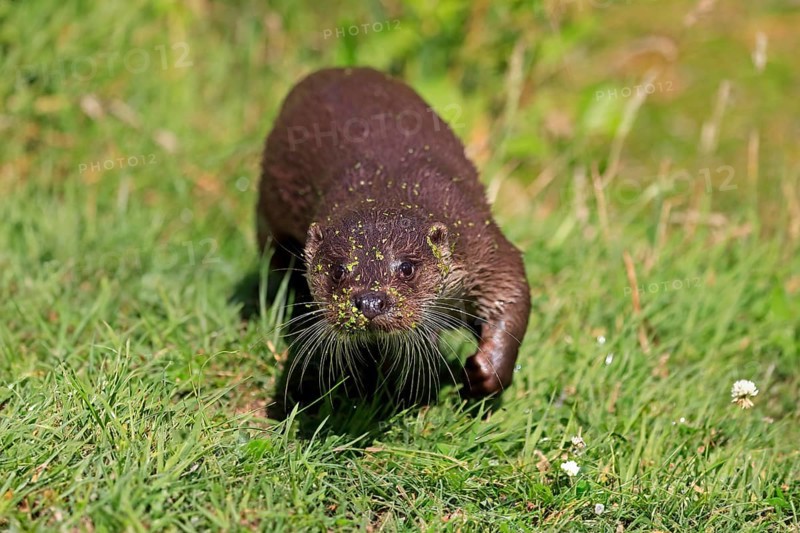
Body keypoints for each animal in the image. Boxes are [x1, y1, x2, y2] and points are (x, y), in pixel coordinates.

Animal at [257, 67, 530, 404]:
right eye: (337, 270)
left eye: (407, 268)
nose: (370, 302)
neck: (389, 183)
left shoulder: (479, 240)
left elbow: (511, 290)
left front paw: (487, 369)